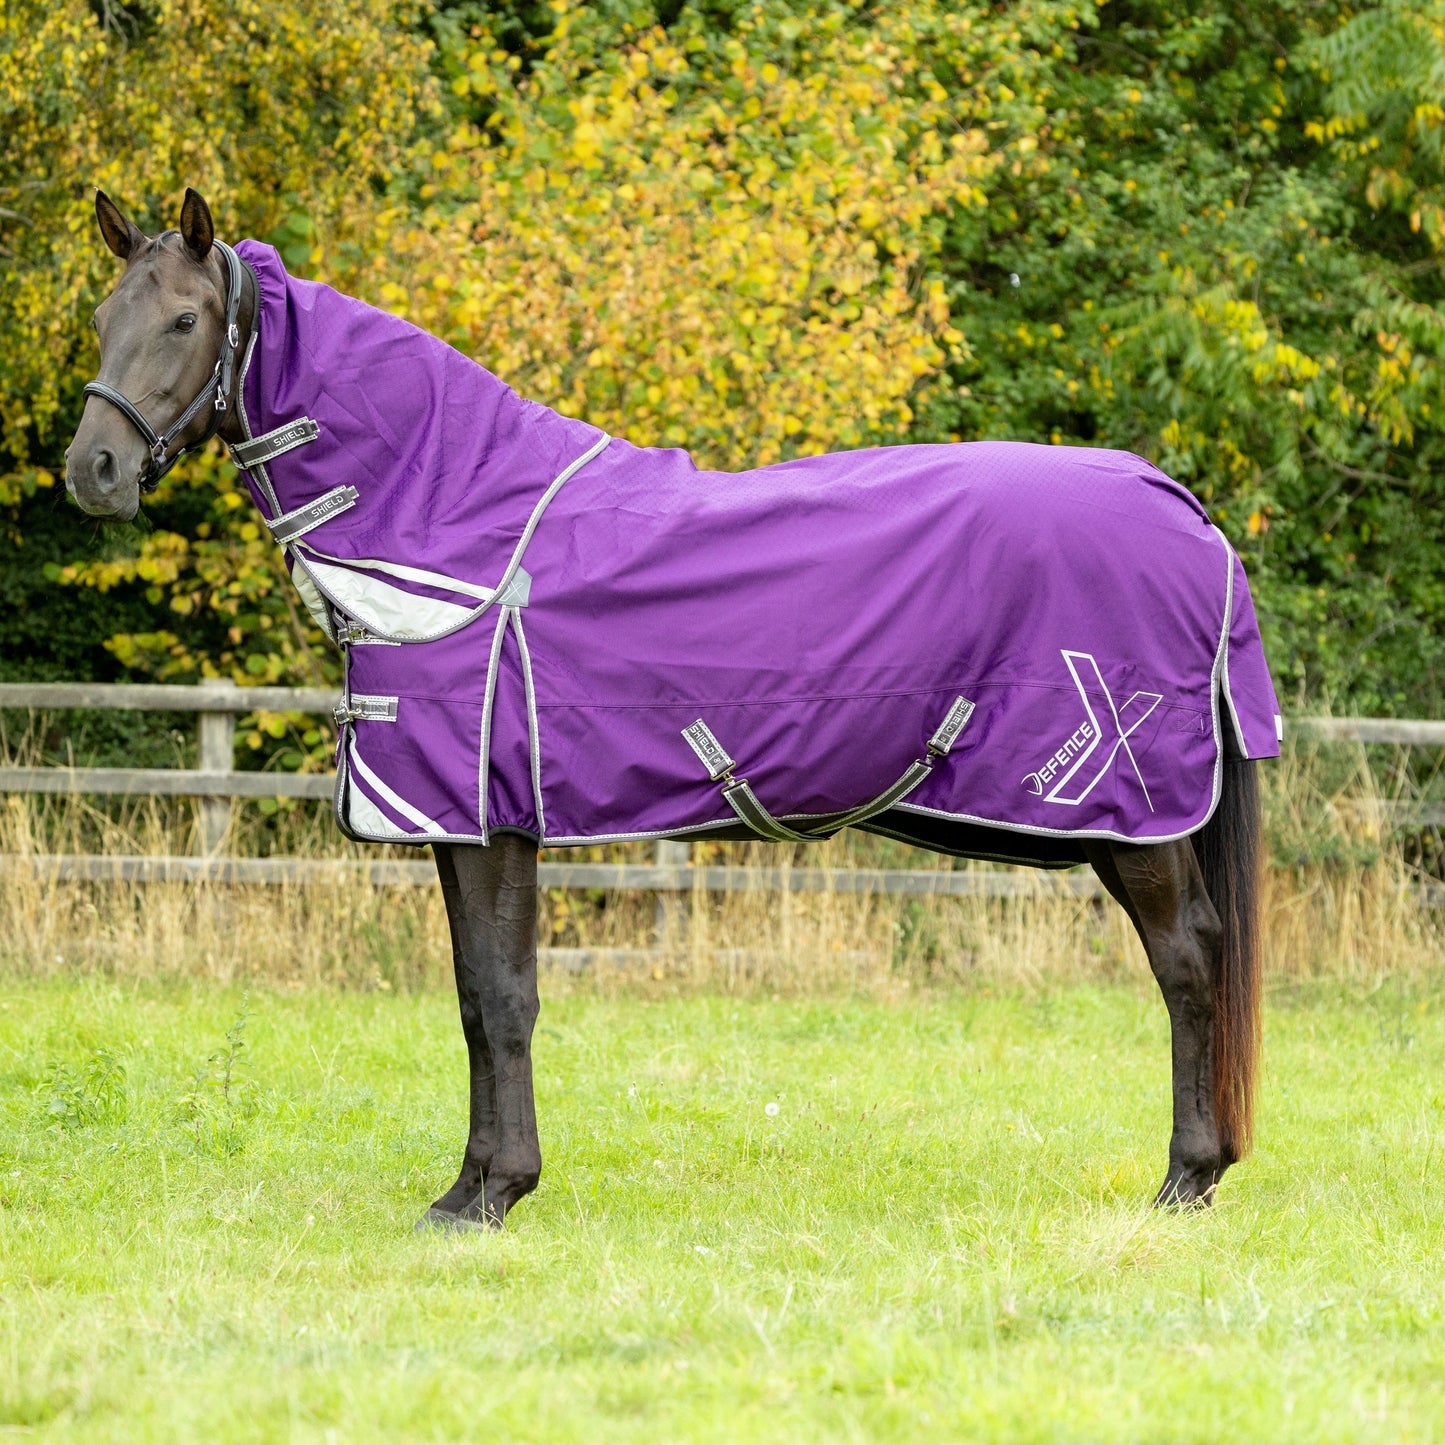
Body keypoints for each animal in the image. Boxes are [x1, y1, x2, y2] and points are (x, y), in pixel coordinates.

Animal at [64, 188, 1274, 1227]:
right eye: (101, 317)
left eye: (184, 318)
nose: (94, 470)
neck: (449, 518)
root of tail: (1182, 508)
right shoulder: (456, 824)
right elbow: (470, 1000)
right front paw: (463, 1188)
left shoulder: (494, 821)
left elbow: (504, 994)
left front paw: (499, 1191)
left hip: (1133, 818)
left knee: (1187, 962)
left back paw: (1184, 1180)